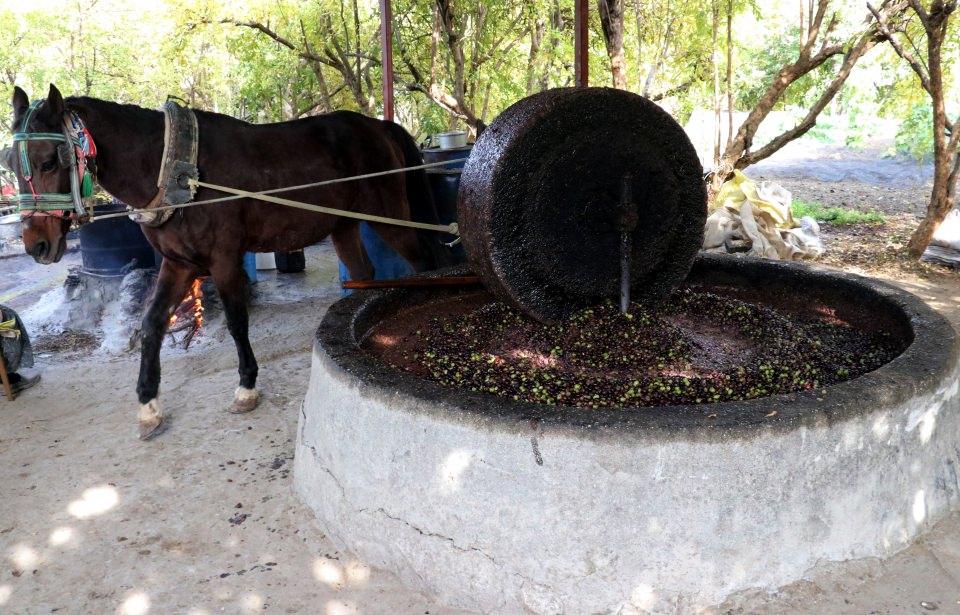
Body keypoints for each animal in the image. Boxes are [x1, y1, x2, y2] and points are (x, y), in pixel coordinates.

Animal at [8, 85, 450, 438]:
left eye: (50, 160)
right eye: (9, 164)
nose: (36, 245)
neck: (176, 169)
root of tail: (379, 125)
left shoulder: (224, 260)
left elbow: (238, 322)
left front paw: (246, 387)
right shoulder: (177, 263)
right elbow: (152, 324)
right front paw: (149, 406)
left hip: (390, 216)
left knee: (425, 261)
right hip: (342, 225)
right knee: (362, 274)